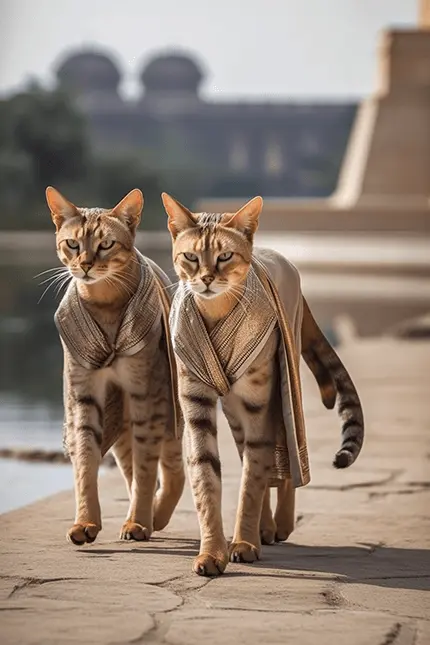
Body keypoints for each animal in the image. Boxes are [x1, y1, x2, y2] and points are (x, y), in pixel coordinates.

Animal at [46, 186, 186, 544]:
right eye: (72, 243)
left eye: (106, 244)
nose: (85, 264)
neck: (105, 304)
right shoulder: (83, 392)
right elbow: (85, 460)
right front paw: (85, 522)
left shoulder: (145, 392)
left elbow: (148, 469)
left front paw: (137, 522)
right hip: (121, 420)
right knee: (132, 466)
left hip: (165, 408)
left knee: (172, 467)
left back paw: (154, 515)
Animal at [161, 192, 362, 580]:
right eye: (190, 256)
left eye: (225, 256)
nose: (206, 279)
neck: (216, 311)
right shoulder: (197, 402)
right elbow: (207, 479)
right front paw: (211, 553)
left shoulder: (259, 402)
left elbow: (251, 482)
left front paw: (243, 543)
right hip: (235, 410)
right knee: (261, 461)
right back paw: (266, 528)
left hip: (282, 387)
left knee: (285, 462)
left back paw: (278, 525)